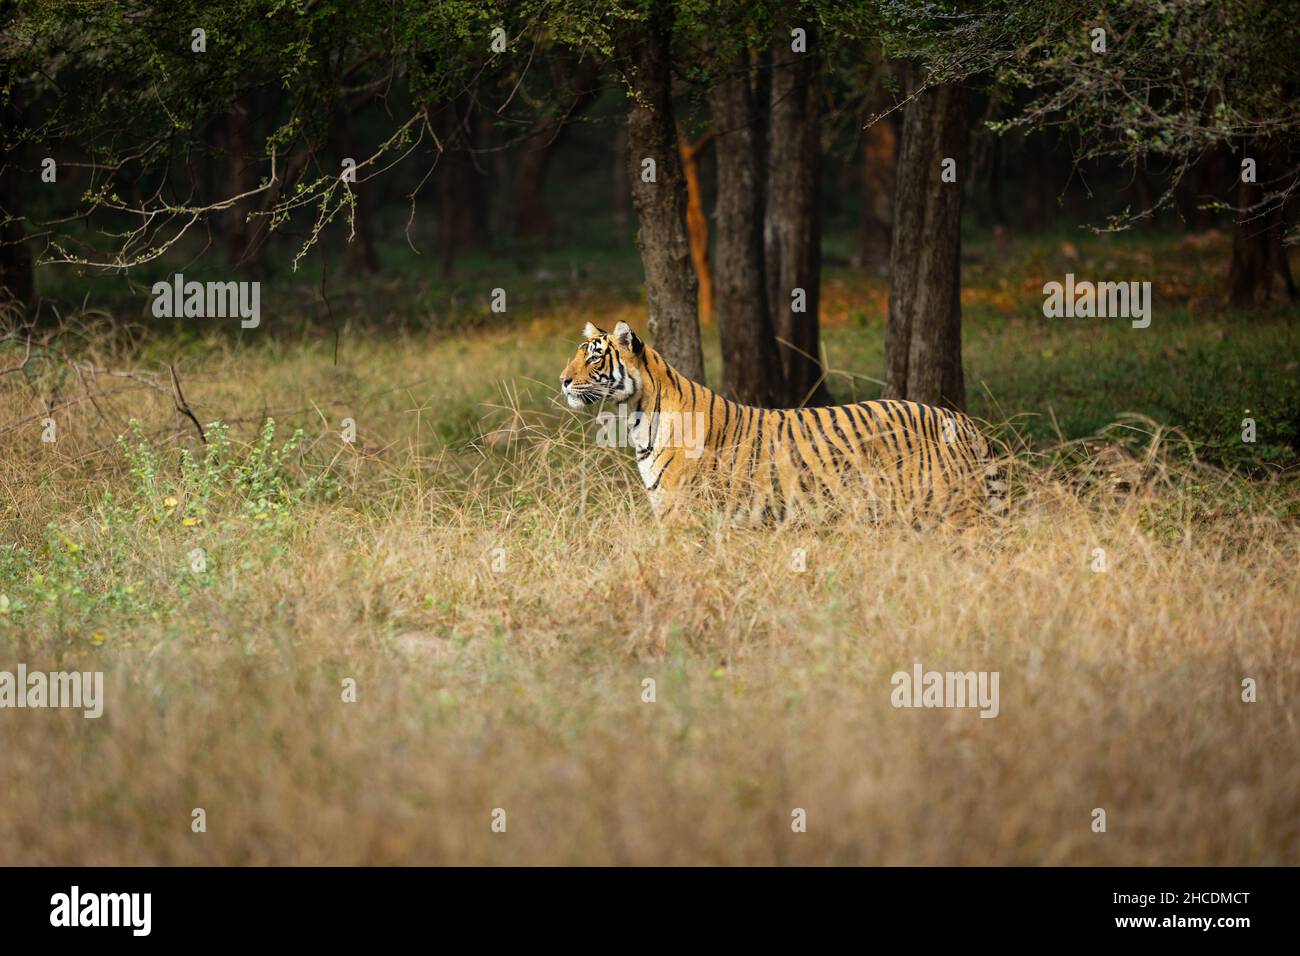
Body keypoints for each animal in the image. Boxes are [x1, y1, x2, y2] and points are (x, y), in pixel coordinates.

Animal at [561, 321, 1006, 525]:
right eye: (578, 353)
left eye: (595, 357)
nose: (563, 380)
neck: (636, 415)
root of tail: (961, 419)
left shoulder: (681, 513)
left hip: (952, 512)